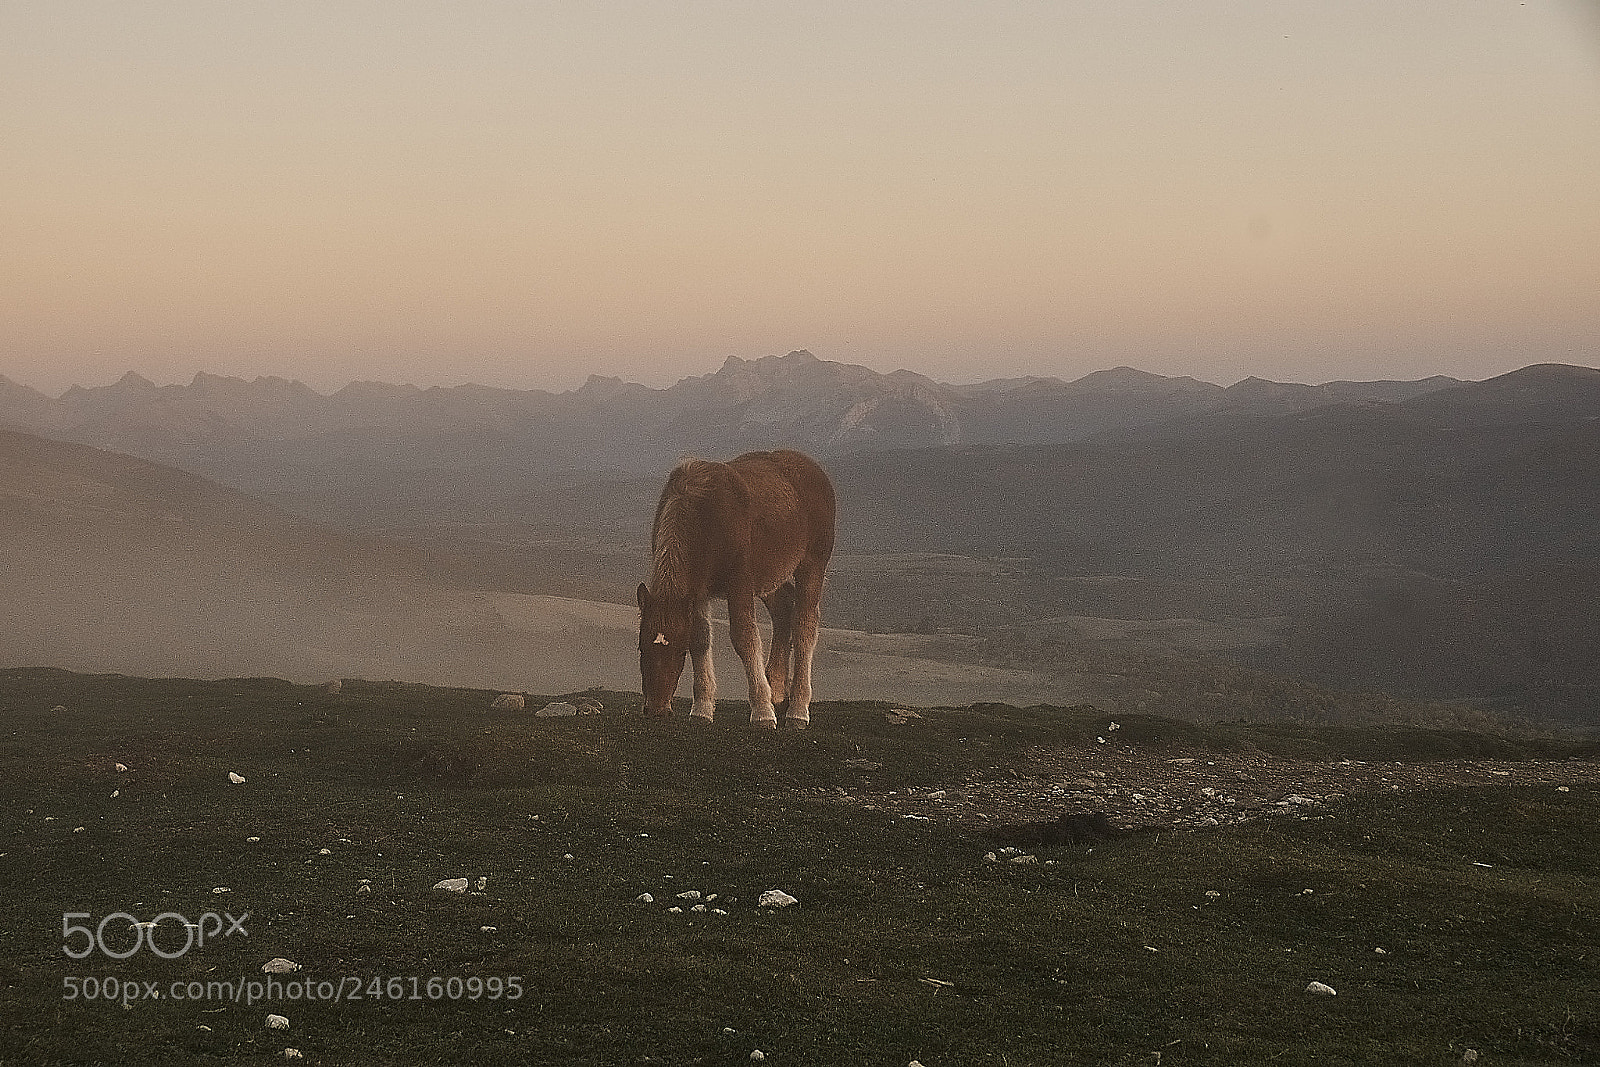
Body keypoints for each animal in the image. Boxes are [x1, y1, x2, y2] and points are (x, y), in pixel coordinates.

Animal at [636, 449, 836, 728]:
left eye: (679, 651)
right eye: (641, 647)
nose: (656, 710)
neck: (705, 518)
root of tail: (815, 470)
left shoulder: (739, 583)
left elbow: (745, 638)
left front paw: (762, 713)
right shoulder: (698, 590)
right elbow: (701, 638)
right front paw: (702, 709)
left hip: (812, 565)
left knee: (805, 626)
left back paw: (798, 710)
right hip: (768, 578)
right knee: (784, 608)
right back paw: (777, 691)